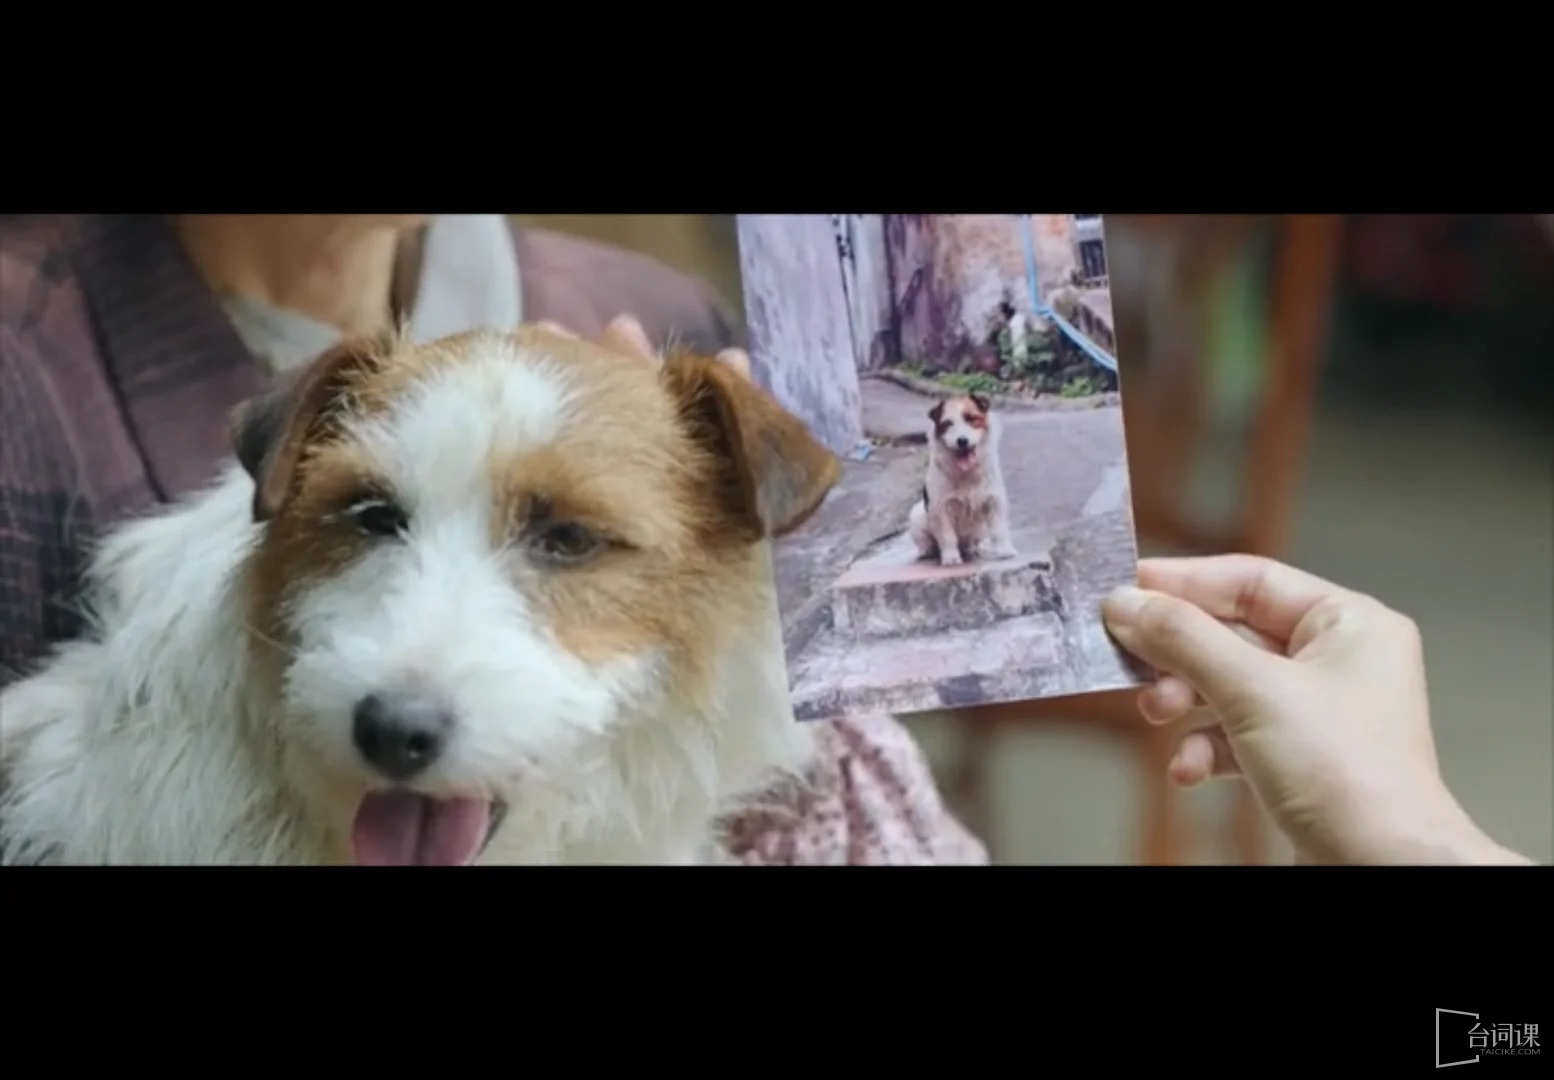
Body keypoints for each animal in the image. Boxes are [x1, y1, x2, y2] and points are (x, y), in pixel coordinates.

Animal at [907, 393, 1019, 571]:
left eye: (971, 418)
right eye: (947, 424)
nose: (962, 441)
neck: (966, 472)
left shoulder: (994, 501)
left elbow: (999, 530)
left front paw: (1005, 550)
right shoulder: (940, 508)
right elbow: (947, 536)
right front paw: (951, 558)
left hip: (980, 529)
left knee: (971, 542)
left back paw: (972, 549)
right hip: (917, 515)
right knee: (927, 543)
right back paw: (927, 552)